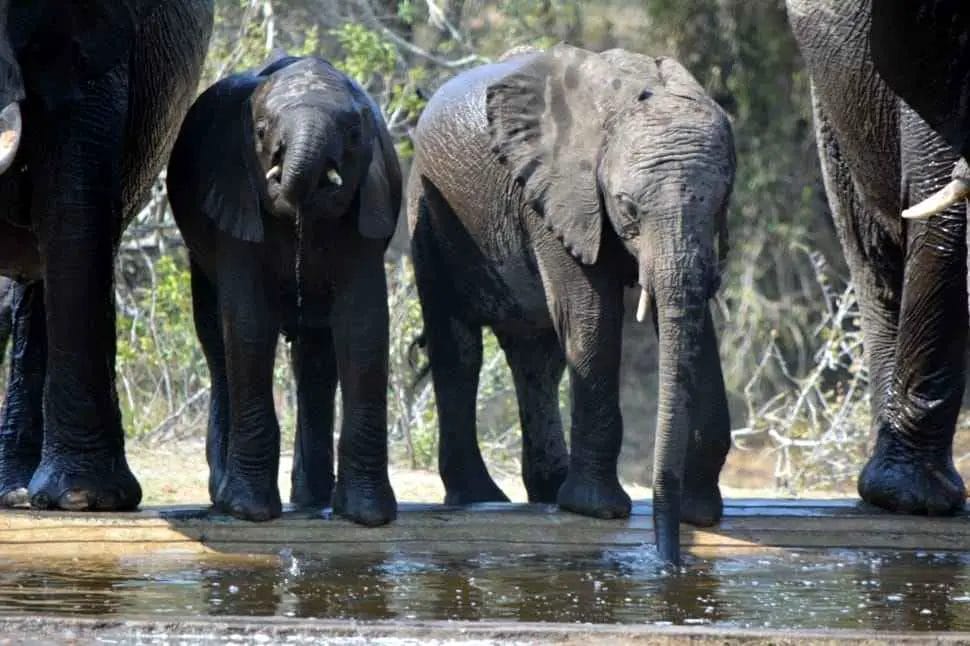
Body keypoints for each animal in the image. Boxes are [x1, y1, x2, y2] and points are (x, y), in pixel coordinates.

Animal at [166, 55, 401, 524]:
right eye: (260, 132)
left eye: (353, 133)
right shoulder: (234, 202)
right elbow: (249, 323)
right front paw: (249, 512)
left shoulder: (369, 206)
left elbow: (363, 325)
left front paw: (367, 517)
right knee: (217, 341)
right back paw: (226, 494)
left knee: (315, 358)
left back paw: (312, 500)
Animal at [407, 44, 736, 564]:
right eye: (627, 207)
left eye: (723, 201)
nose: (669, 560)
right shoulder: (557, 199)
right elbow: (590, 316)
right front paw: (596, 510)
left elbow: (693, 322)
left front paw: (700, 514)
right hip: (428, 212)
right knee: (458, 350)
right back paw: (481, 498)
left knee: (537, 362)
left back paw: (547, 490)